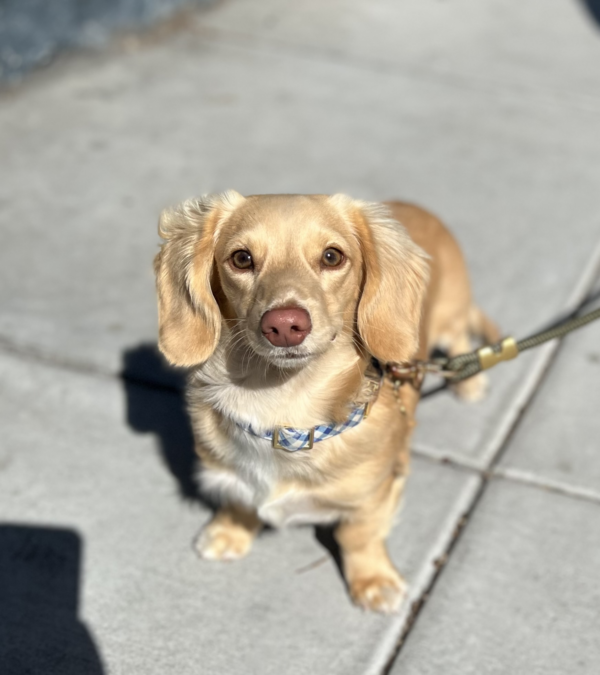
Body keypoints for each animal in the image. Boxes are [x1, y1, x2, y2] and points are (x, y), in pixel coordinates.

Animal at [154, 190, 496, 612]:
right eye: (241, 258)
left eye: (332, 256)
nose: (285, 325)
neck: (282, 410)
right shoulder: (227, 471)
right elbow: (240, 500)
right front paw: (228, 532)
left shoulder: (374, 494)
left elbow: (359, 536)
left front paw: (373, 580)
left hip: (450, 318)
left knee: (461, 341)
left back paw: (470, 384)